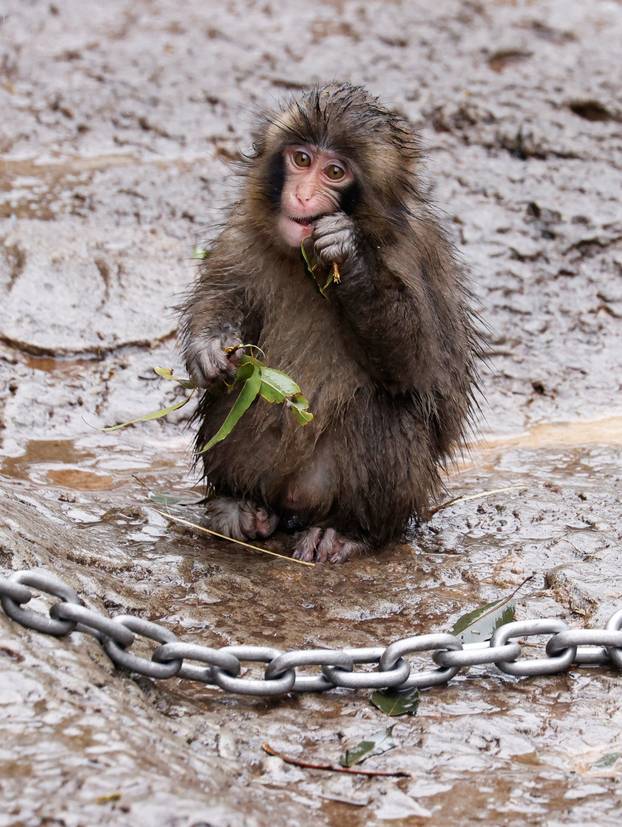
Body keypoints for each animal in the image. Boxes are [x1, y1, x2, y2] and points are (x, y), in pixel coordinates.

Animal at [179, 82, 479, 563]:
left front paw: (350, 257)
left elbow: (424, 372)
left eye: (335, 172)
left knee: (380, 411)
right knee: (239, 389)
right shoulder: (241, 236)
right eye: (302, 160)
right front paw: (209, 348)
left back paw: (348, 531)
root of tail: (294, 499)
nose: (303, 195)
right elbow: (222, 300)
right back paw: (238, 503)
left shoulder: (414, 251)